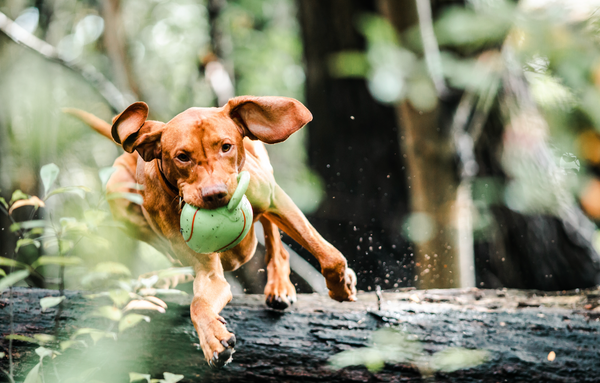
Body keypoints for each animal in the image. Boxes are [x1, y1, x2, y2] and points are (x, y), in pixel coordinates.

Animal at [67, 97, 356, 368]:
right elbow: (199, 303)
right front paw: (213, 339)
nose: (215, 194)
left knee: (274, 239)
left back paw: (279, 285)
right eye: (182, 156)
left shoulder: (275, 199)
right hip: (118, 192)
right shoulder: (208, 272)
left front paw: (341, 286)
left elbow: (330, 256)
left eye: (226, 147)